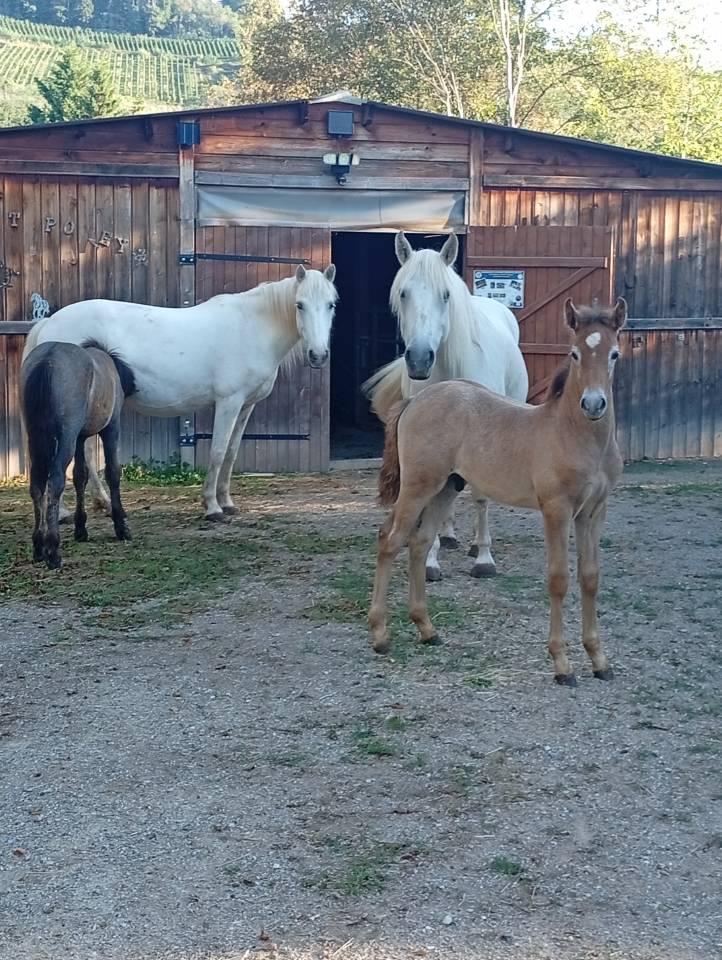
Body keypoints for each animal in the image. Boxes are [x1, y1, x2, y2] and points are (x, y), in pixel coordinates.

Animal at [20, 340, 135, 569]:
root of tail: (47, 359)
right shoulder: (111, 428)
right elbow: (112, 473)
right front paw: (121, 526)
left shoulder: (81, 438)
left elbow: (80, 476)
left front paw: (81, 528)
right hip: (66, 437)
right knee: (55, 481)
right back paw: (53, 550)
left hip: (36, 438)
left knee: (37, 484)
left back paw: (38, 547)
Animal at [23, 265, 338, 520]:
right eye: (299, 305)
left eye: (331, 305)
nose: (319, 355)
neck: (251, 327)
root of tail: (49, 324)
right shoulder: (229, 402)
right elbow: (218, 452)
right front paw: (212, 507)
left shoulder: (246, 405)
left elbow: (231, 453)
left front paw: (227, 502)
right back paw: (64, 512)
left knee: (86, 453)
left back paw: (102, 503)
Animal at [362, 232, 528, 581]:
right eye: (403, 293)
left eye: (446, 295)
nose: (419, 358)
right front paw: (430, 561)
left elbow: (480, 496)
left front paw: (484, 558)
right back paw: (448, 535)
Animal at [368, 298, 627, 686]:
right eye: (575, 353)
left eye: (614, 354)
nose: (594, 404)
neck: (574, 435)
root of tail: (416, 400)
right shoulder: (556, 509)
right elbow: (559, 578)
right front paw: (562, 664)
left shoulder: (594, 511)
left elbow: (590, 577)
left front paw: (599, 659)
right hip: (418, 485)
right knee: (390, 538)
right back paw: (380, 635)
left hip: (446, 487)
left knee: (420, 542)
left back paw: (427, 629)